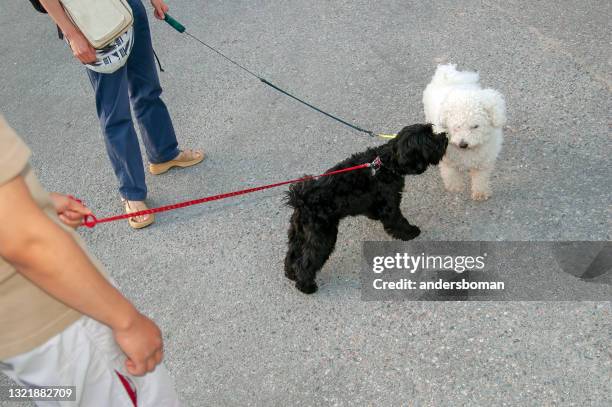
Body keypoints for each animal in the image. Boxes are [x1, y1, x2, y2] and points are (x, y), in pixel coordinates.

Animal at [424, 64, 504, 202]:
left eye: (475, 126)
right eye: (457, 127)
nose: (463, 144)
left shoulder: (484, 160)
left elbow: (481, 177)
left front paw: (480, 192)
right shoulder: (447, 156)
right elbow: (450, 172)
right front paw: (455, 186)